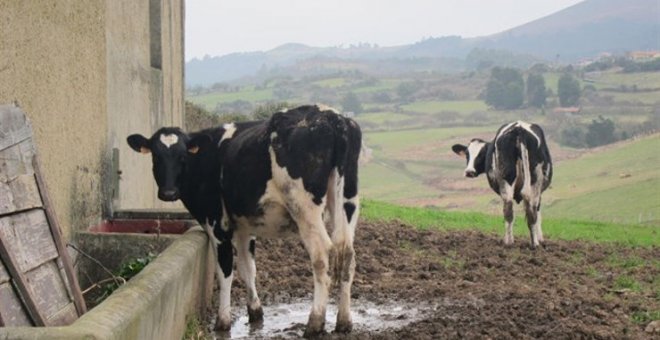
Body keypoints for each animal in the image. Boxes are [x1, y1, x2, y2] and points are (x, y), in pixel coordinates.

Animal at [126, 105, 364, 336]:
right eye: (156, 157)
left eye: (182, 156)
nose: (168, 192)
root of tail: (332, 117)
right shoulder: (244, 227)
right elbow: (248, 268)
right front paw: (255, 312)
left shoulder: (217, 223)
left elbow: (225, 271)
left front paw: (223, 321)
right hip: (347, 203)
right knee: (348, 256)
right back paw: (344, 322)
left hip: (305, 208)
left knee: (322, 255)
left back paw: (315, 323)